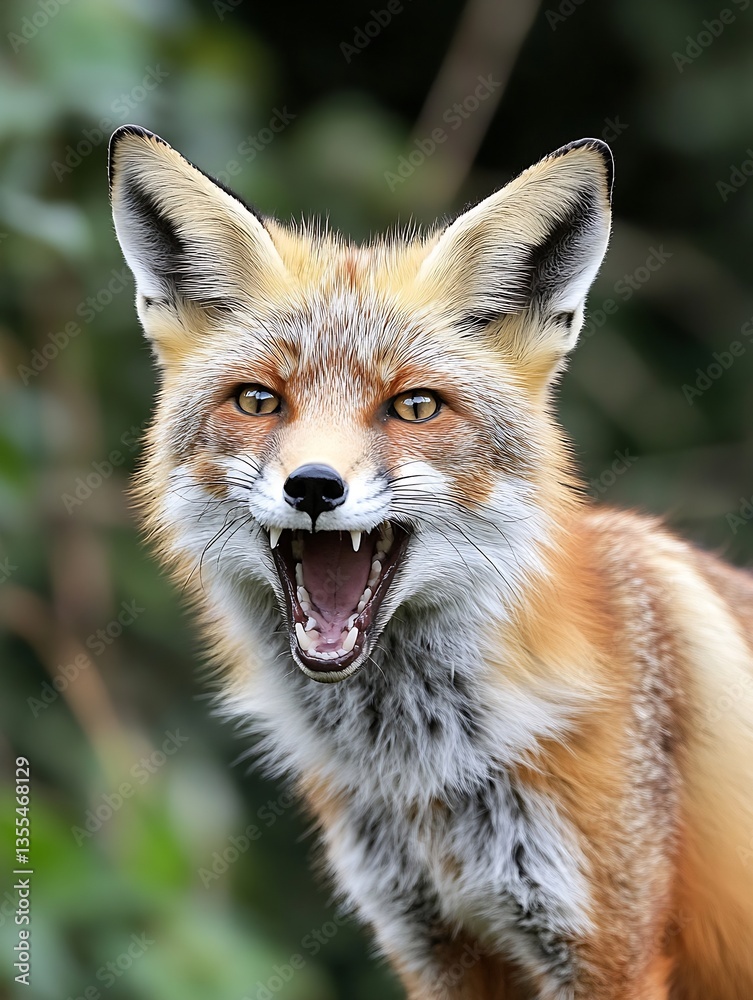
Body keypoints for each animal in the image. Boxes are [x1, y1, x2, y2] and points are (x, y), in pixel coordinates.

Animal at [108, 124, 753, 999]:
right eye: (258, 401)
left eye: (414, 406)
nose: (314, 486)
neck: (422, 774)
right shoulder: (432, 944)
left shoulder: (606, 948)